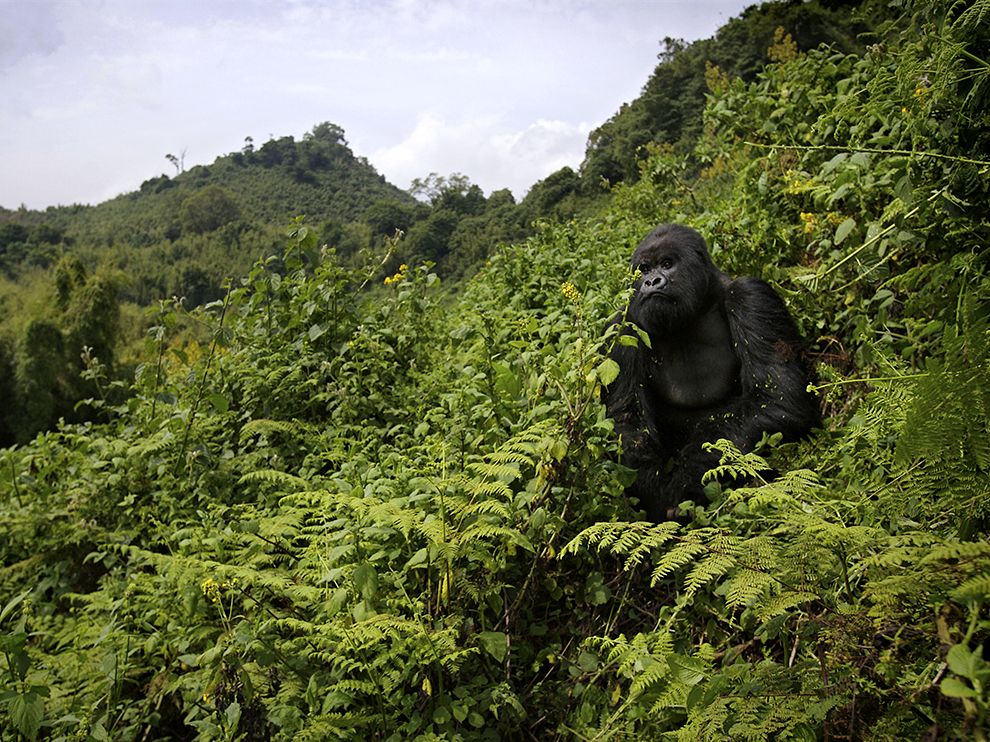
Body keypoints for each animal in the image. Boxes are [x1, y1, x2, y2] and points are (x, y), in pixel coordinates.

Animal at [604, 227, 820, 524]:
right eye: (644, 269)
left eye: (667, 264)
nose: (651, 281)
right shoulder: (623, 327)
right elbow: (627, 421)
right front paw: (657, 497)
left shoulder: (750, 296)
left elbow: (778, 398)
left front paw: (684, 486)